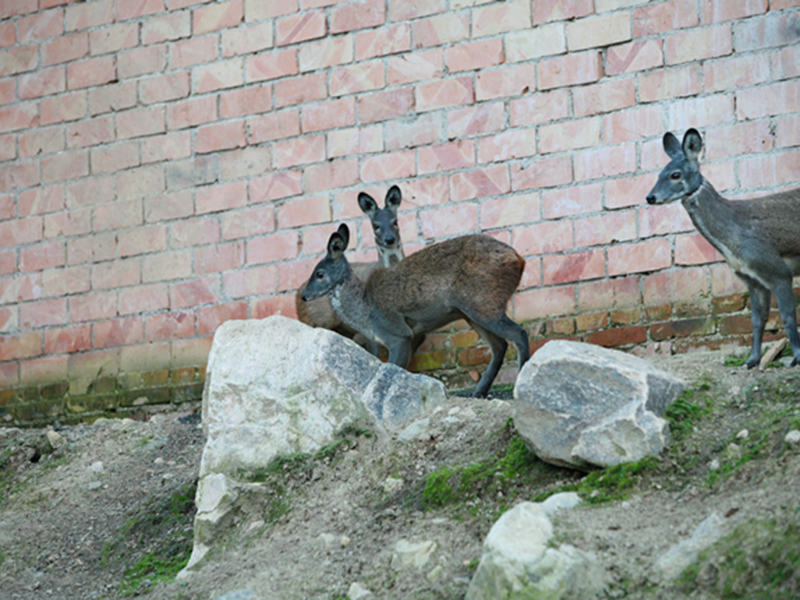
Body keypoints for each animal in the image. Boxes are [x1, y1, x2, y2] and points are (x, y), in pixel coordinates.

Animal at [302, 223, 532, 396]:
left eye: (319, 273)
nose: (304, 295)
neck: (366, 312)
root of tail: (519, 259)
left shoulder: (398, 333)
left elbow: (393, 370)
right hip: (472, 311)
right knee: (500, 345)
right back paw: (479, 392)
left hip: (483, 301)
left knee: (519, 333)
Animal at [644, 127, 800, 366]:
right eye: (659, 173)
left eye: (675, 174)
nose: (650, 197)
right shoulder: (751, 279)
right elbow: (757, 319)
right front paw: (752, 360)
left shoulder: (777, 270)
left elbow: (788, 316)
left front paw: (796, 358)